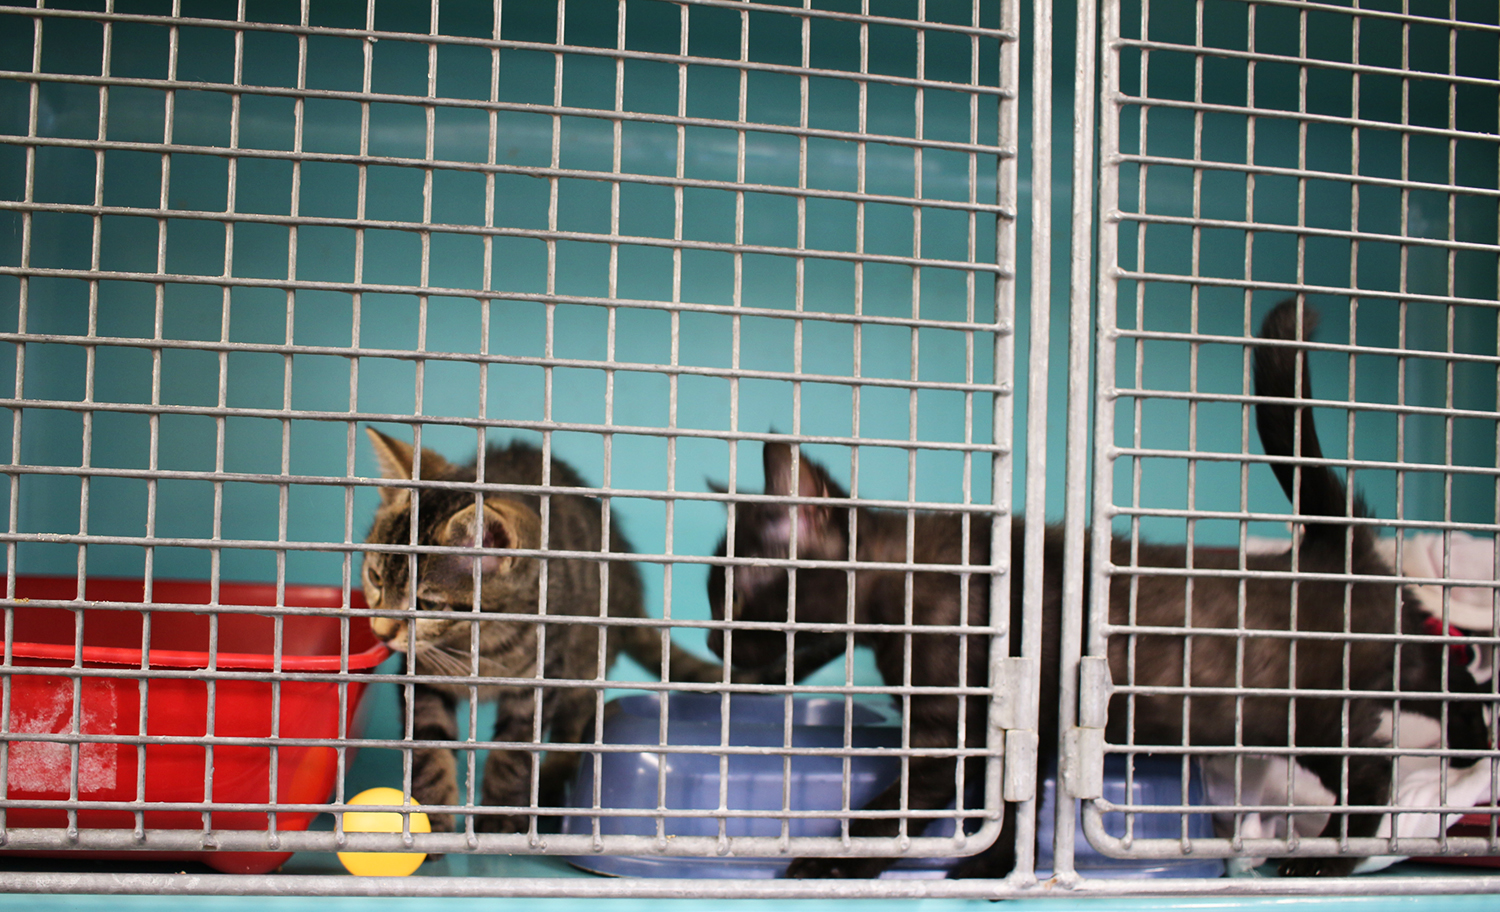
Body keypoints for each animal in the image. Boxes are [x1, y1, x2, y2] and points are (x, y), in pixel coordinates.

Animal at [366, 426, 735, 834]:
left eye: (426, 604)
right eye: (375, 578)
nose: (381, 632)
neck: (478, 644)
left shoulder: (536, 682)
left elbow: (513, 756)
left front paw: (498, 823)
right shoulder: (422, 681)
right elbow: (428, 751)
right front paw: (434, 823)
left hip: (584, 665)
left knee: (571, 730)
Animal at [708, 303, 1482, 882]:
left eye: (735, 601)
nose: (713, 641)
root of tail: (1325, 549)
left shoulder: (953, 728)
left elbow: (906, 808)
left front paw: (828, 863)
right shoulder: (1018, 731)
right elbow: (1011, 810)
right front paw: (991, 867)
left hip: (1303, 711)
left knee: (1380, 767)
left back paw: (1333, 856)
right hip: (1357, 680)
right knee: (1444, 675)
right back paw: (1475, 748)